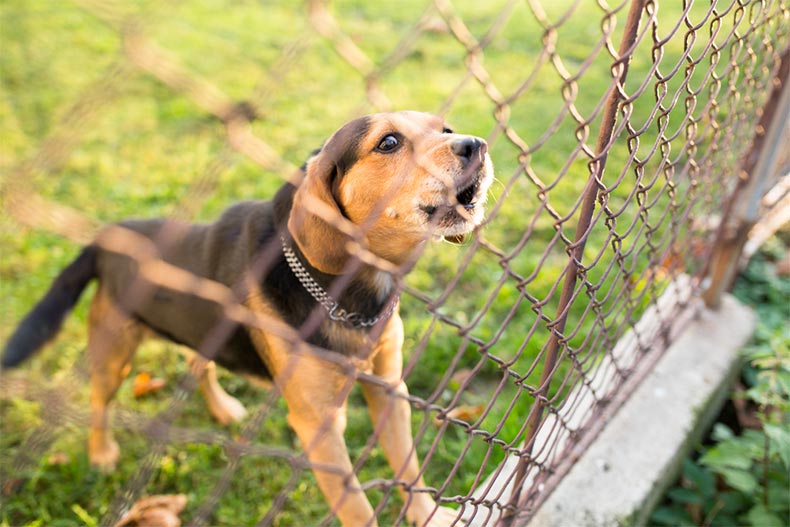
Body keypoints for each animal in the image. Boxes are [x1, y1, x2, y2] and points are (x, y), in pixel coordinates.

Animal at [1, 111, 496, 527]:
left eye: (446, 129)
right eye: (389, 142)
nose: (478, 144)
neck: (350, 293)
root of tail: (107, 237)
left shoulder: (390, 390)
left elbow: (409, 467)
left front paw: (427, 514)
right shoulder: (318, 427)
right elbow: (357, 506)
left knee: (197, 363)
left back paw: (222, 409)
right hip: (114, 351)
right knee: (99, 400)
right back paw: (102, 453)